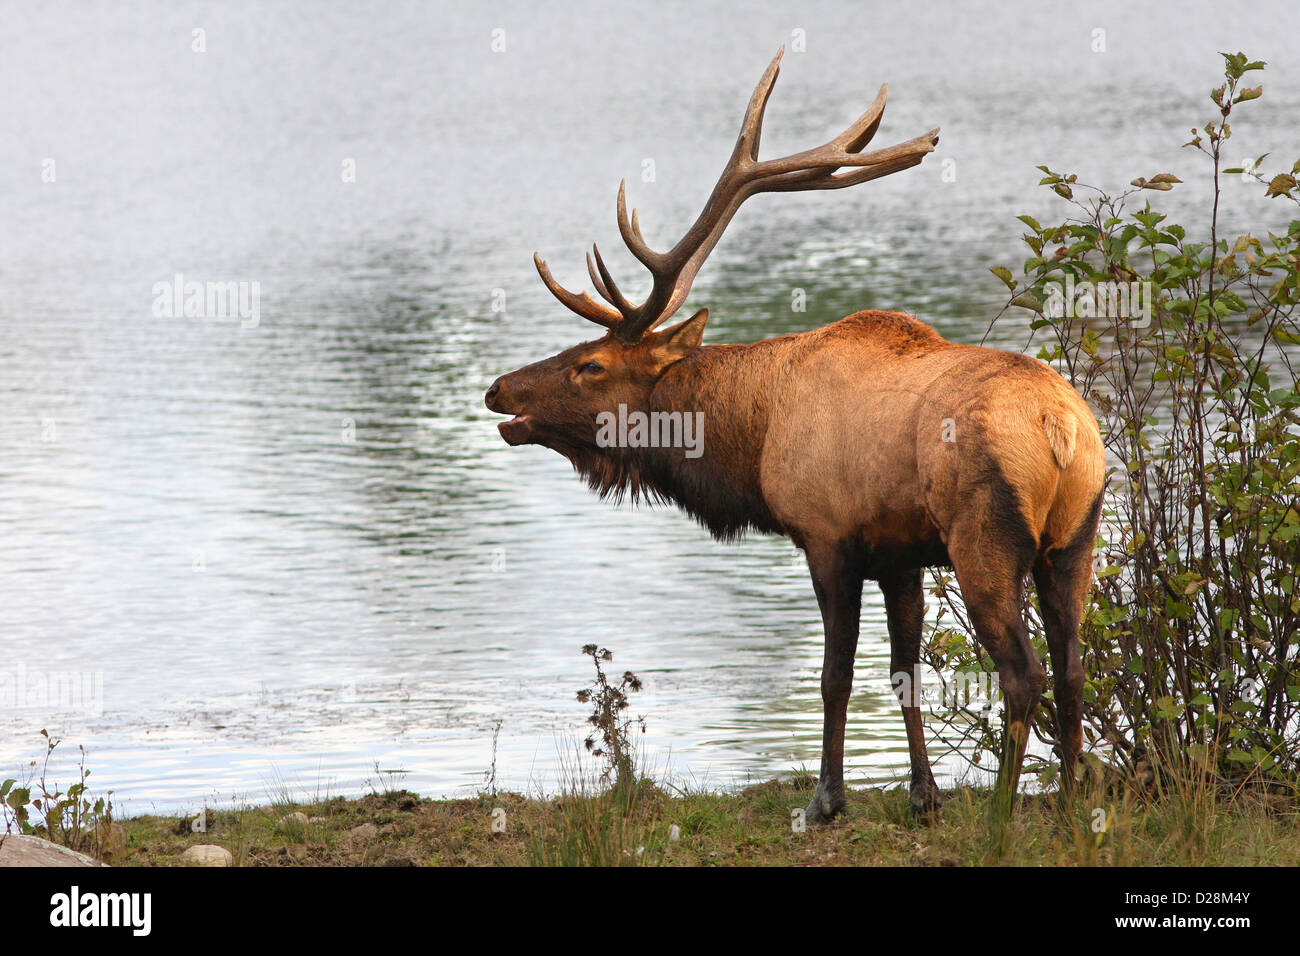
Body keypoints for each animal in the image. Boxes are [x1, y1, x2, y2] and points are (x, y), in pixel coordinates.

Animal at [488, 46, 1107, 822]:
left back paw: (1000, 813)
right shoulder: (900, 551)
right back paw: (1074, 803)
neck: (749, 445)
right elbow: (904, 670)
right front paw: (922, 795)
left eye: (589, 364)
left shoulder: (827, 535)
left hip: (983, 538)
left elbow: (835, 675)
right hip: (1074, 537)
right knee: (1076, 664)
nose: (498, 388)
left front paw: (825, 800)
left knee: (1025, 673)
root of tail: (1061, 428)